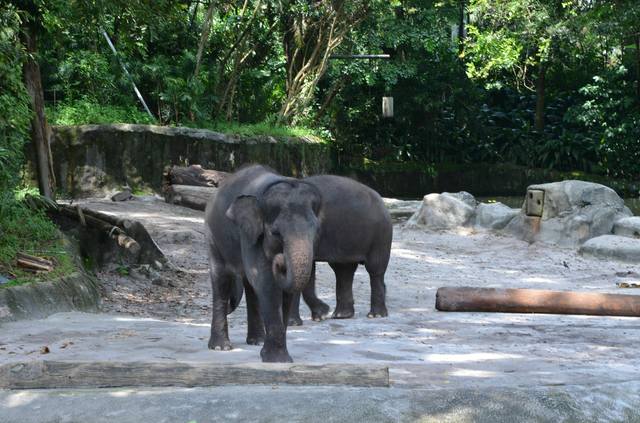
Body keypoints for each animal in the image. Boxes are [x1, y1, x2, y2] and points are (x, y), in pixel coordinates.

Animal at [286, 174, 392, 326]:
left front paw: (317, 315)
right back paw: (341, 315)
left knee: (375, 269)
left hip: (380, 236)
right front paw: (317, 315)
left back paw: (375, 315)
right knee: (343, 271)